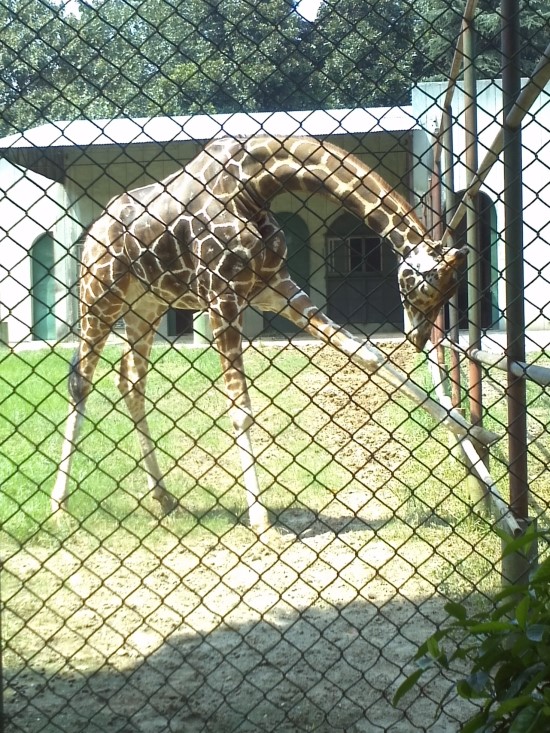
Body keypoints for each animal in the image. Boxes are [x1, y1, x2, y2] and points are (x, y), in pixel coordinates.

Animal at [51, 133, 468, 532]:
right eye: (430, 285)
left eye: (452, 290)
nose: (418, 339)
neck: (251, 187)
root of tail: (94, 227)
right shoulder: (222, 296)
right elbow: (241, 410)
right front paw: (261, 521)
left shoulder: (274, 287)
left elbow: (367, 355)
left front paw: (472, 434)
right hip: (100, 293)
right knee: (81, 380)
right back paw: (59, 507)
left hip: (146, 305)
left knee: (131, 381)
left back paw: (164, 498)